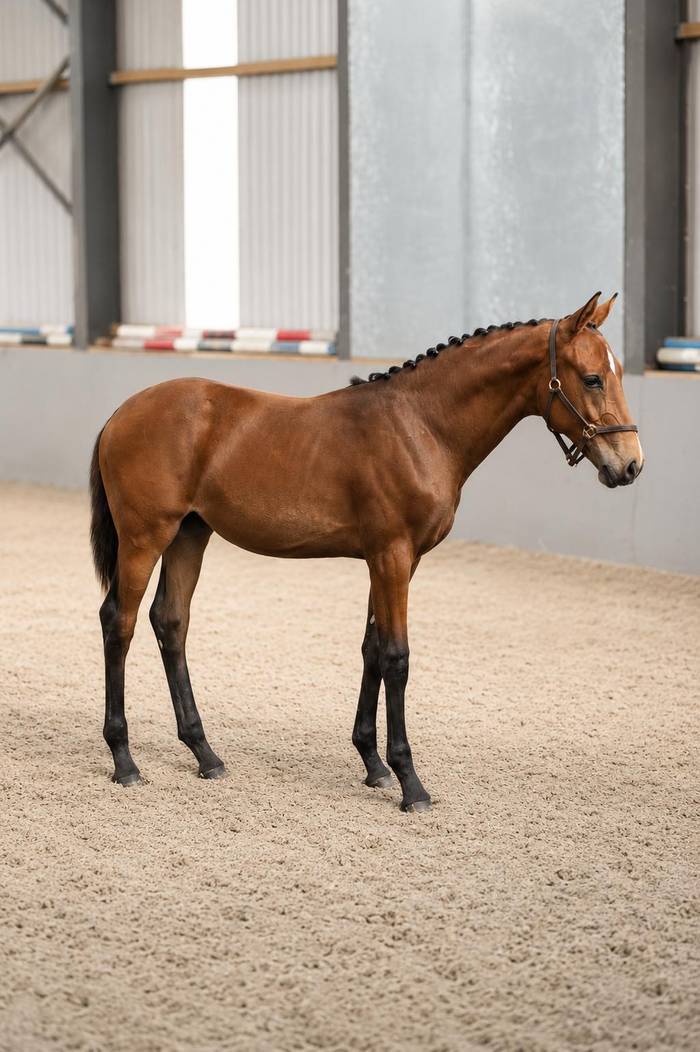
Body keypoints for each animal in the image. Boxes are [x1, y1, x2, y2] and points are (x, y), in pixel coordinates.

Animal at [90, 291, 642, 812]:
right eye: (593, 378)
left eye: (616, 373)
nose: (631, 465)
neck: (420, 425)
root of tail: (119, 414)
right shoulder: (392, 556)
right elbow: (396, 658)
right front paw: (410, 782)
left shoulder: (395, 561)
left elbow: (372, 650)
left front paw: (374, 764)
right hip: (145, 538)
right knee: (120, 622)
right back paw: (124, 760)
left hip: (189, 535)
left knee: (171, 622)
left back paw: (205, 754)